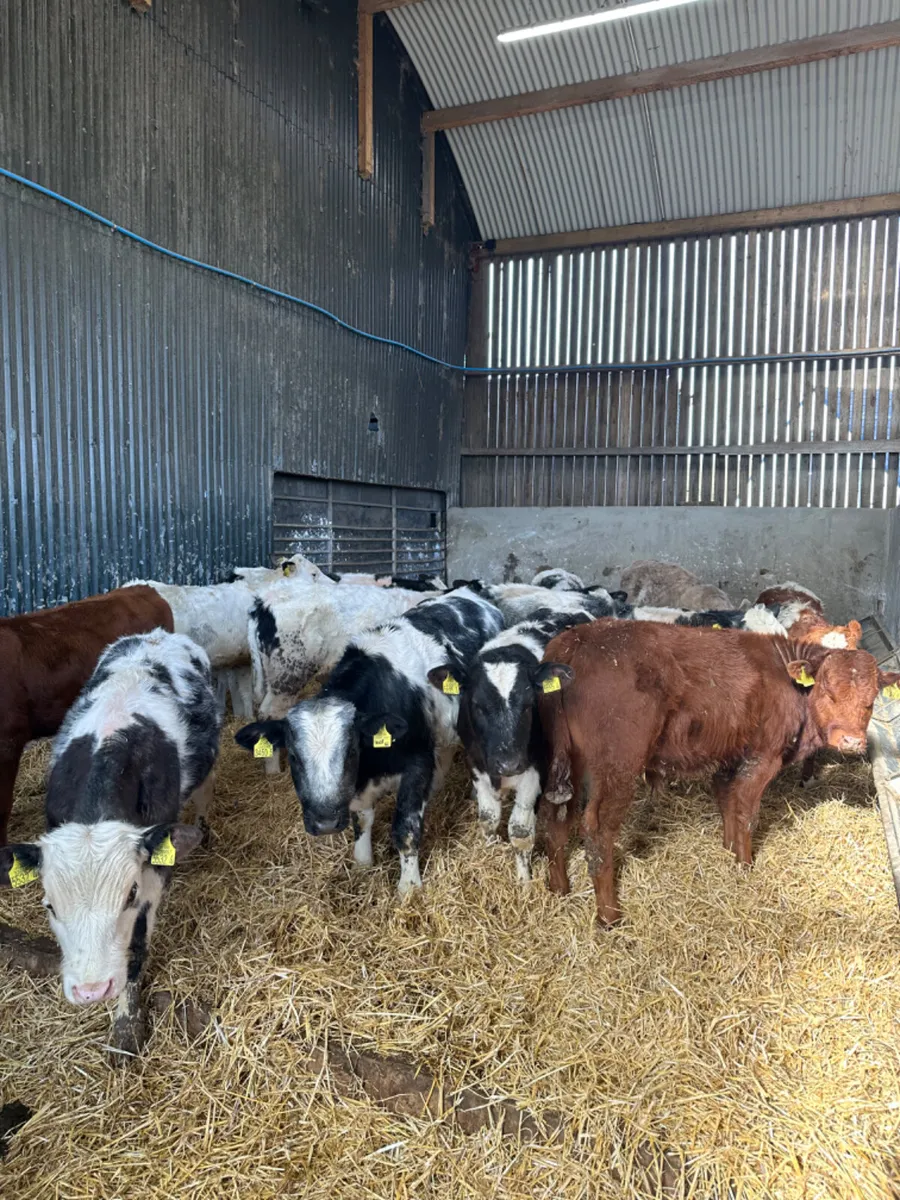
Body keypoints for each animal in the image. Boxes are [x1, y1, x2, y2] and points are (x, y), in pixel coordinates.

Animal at [0, 629, 220, 1053]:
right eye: (49, 905)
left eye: (129, 895)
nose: (91, 991)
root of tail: (157, 635)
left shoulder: (153, 868)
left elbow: (137, 945)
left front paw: (127, 1024)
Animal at [234, 588, 503, 893]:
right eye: (293, 756)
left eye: (351, 750)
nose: (325, 823)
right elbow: (361, 820)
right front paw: (362, 863)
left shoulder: (417, 764)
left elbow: (406, 828)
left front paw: (409, 886)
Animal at [440, 607, 597, 882]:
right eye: (477, 705)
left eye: (529, 704)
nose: (509, 764)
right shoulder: (476, 765)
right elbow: (488, 819)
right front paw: (489, 851)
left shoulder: (535, 770)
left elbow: (520, 831)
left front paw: (524, 879)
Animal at [537, 620, 900, 926]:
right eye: (828, 690)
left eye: (871, 700)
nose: (852, 741)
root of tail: (575, 639)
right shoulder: (763, 757)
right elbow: (746, 812)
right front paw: (744, 864)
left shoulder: (729, 756)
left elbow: (726, 801)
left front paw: (728, 850)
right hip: (618, 766)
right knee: (597, 830)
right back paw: (609, 916)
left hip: (565, 762)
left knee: (555, 816)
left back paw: (558, 889)